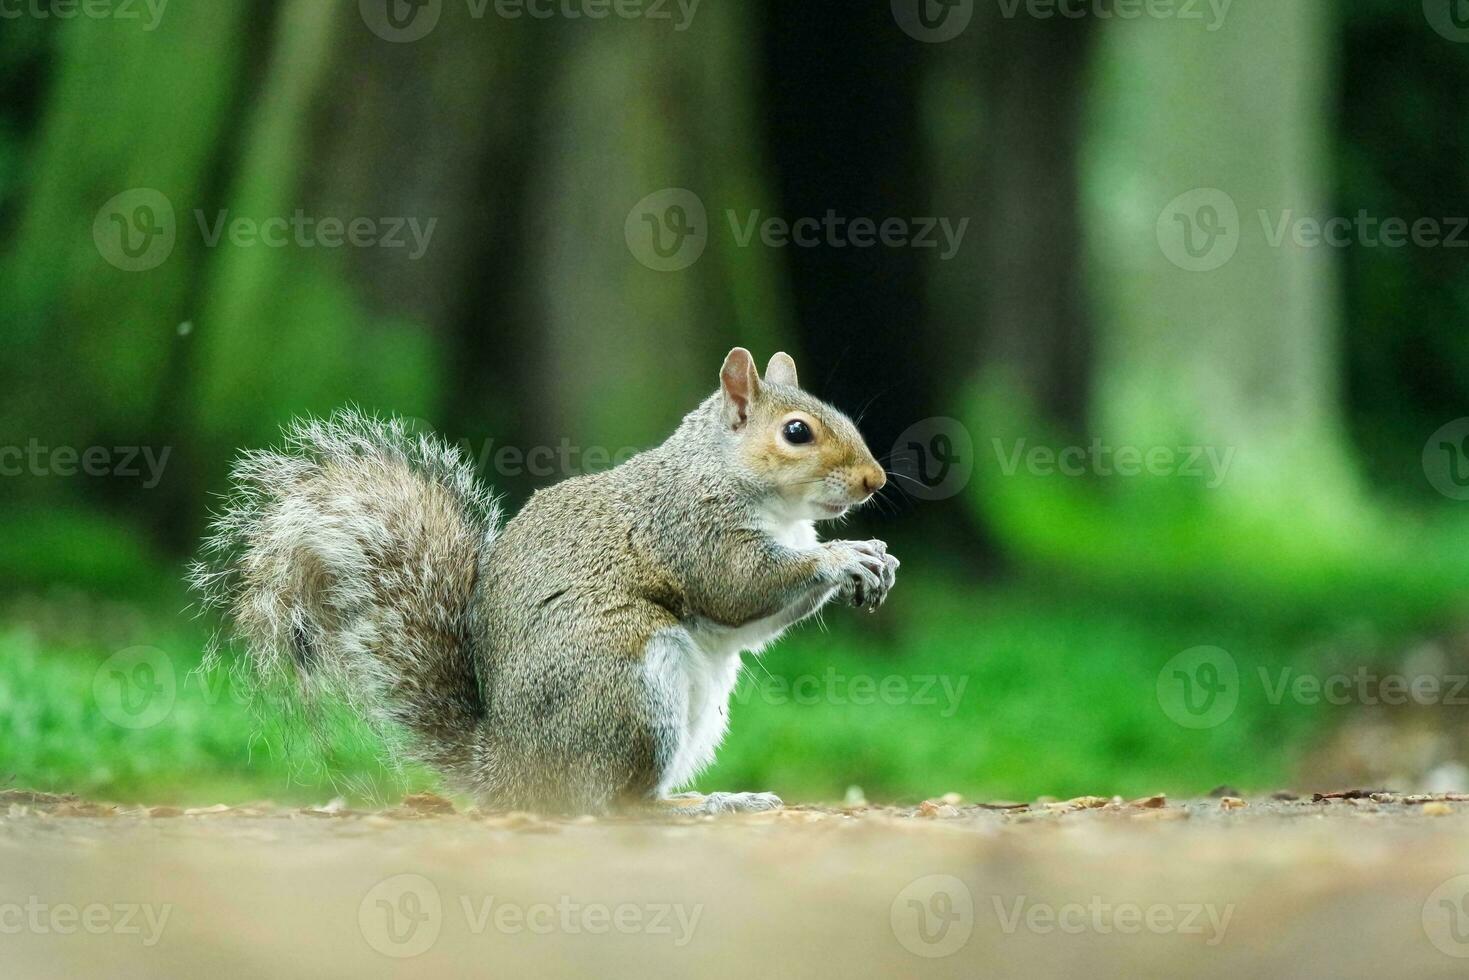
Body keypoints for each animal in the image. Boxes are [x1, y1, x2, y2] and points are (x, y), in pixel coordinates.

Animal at [189, 348, 899, 816]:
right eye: (797, 431)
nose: (876, 480)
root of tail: (513, 773)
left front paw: (870, 556)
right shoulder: (688, 530)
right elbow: (739, 586)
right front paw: (843, 557)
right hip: (629, 683)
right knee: (613, 804)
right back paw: (697, 805)